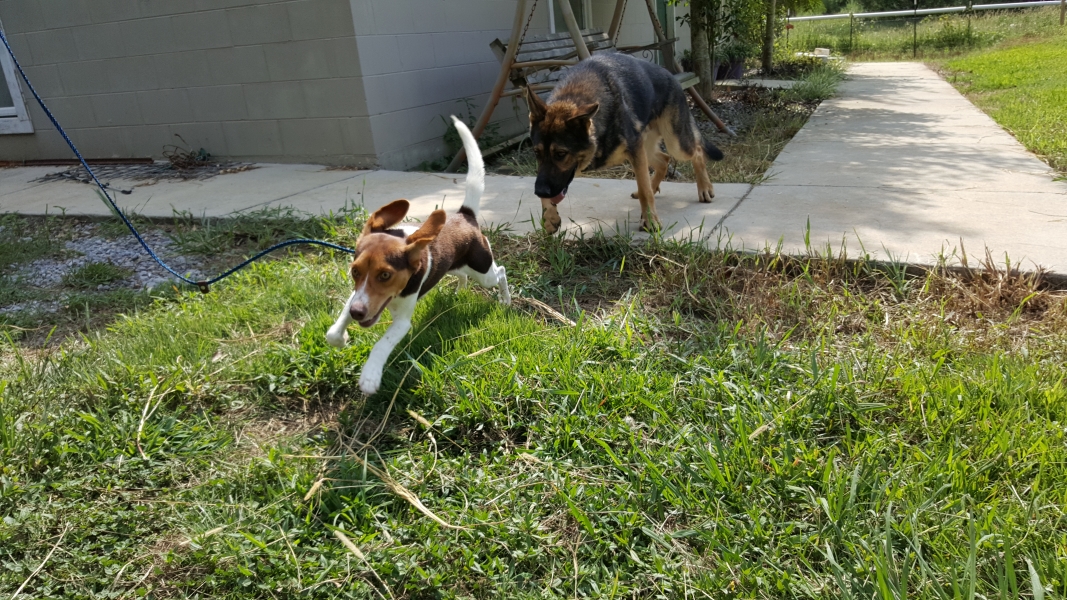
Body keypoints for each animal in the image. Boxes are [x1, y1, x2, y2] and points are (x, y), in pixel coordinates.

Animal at [322, 114, 510, 395]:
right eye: (354, 271)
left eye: (385, 275)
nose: (357, 314)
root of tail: (465, 215)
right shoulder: (356, 296)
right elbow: (334, 331)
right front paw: (341, 336)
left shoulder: (400, 322)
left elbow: (382, 343)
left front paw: (370, 375)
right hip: (455, 266)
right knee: (462, 275)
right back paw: (459, 290)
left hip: (483, 269)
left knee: (500, 272)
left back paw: (505, 299)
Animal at [524, 52, 725, 232]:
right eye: (536, 152)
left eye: (561, 154)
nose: (539, 191)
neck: (573, 95)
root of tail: (670, 75)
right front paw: (549, 217)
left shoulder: (635, 150)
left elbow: (644, 189)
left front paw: (650, 220)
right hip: (646, 147)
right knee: (664, 160)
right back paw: (657, 185)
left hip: (675, 143)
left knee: (696, 152)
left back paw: (704, 188)